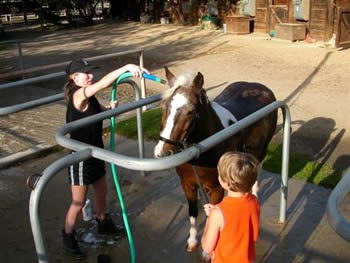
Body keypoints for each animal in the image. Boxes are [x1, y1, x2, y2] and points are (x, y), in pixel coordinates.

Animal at [154, 67, 278, 254]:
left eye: (191, 111)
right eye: (163, 106)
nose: (162, 151)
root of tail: (263, 88)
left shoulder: (217, 188)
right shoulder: (188, 185)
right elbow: (192, 212)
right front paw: (192, 242)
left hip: (260, 152)